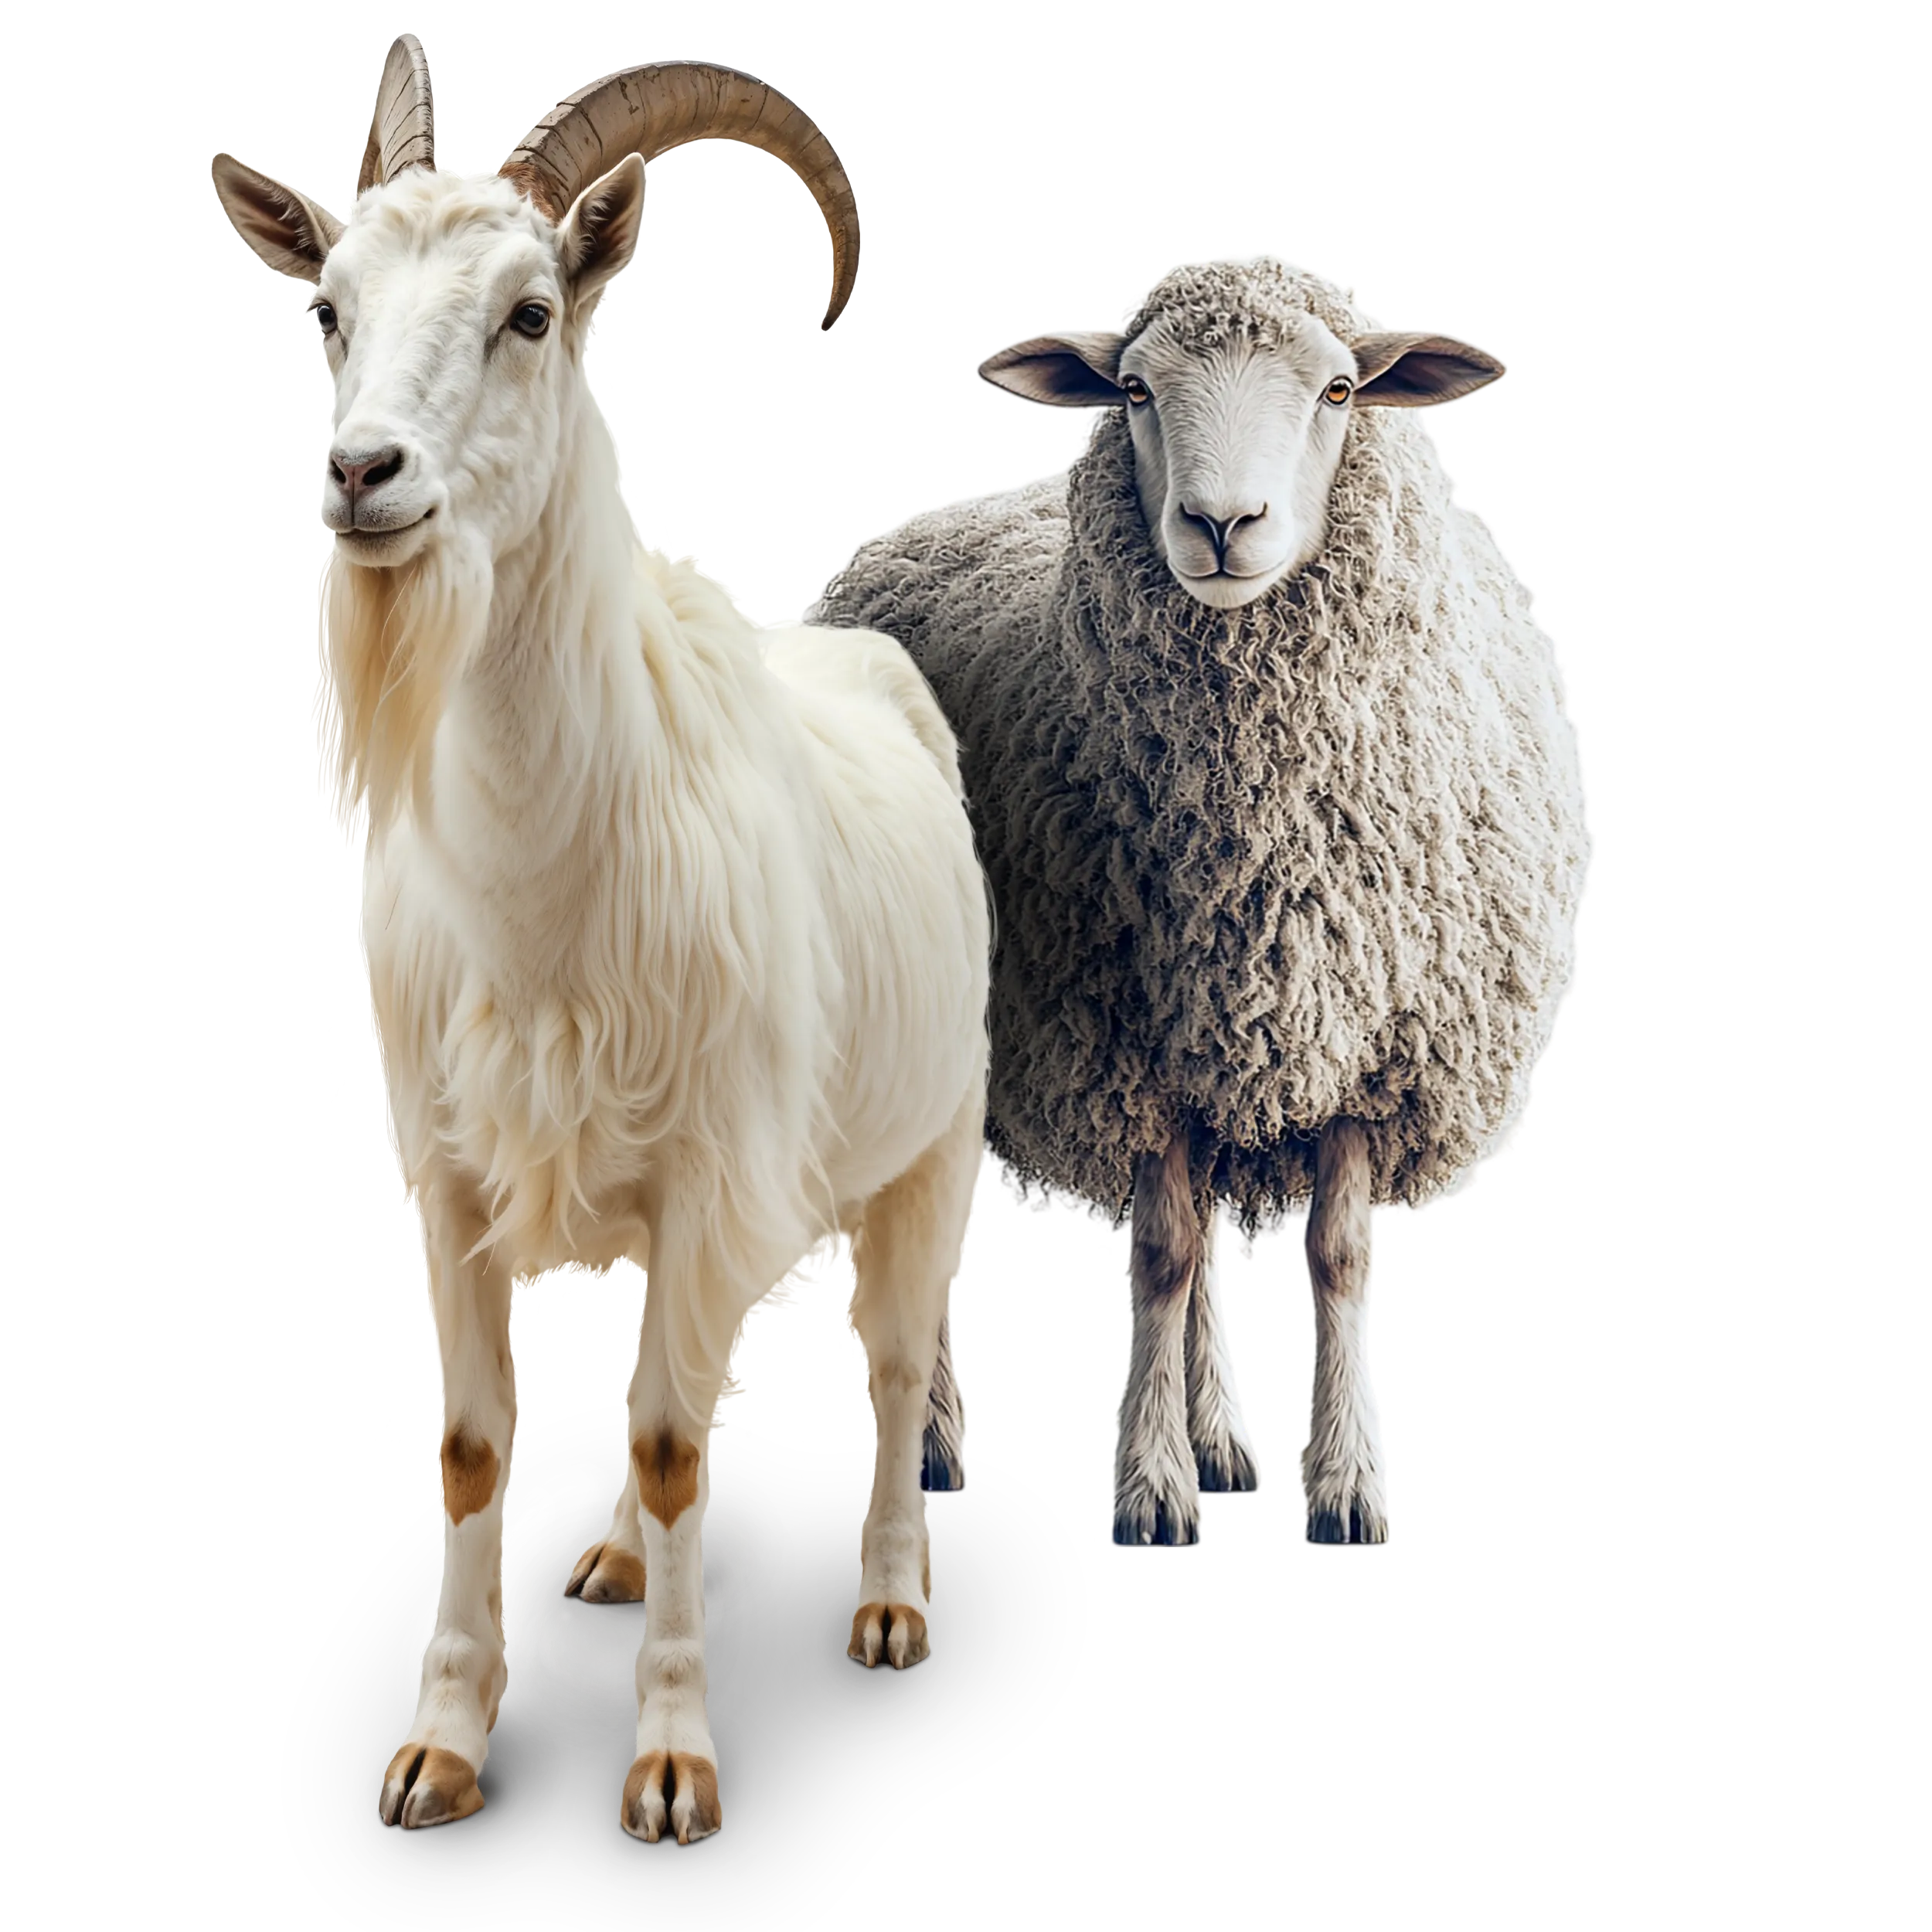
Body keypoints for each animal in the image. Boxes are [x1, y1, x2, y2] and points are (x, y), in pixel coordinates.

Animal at [210, 35, 989, 1842]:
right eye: (326, 307)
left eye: (529, 310)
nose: (363, 478)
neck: (546, 887)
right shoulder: (450, 1173)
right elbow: (481, 1444)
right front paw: (437, 1747)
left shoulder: (716, 1163)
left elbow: (673, 1443)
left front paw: (673, 1764)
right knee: (672, 1369)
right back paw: (625, 1563)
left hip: (928, 1144)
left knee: (885, 1363)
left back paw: (890, 1599)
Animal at [808, 251, 1595, 1550]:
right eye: (1133, 389)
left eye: (1339, 390)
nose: (1223, 526)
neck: (1257, 839)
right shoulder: (1123, 1045)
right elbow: (1160, 1257)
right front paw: (1149, 1490)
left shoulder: (1355, 1039)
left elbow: (1333, 1257)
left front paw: (1344, 1486)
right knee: (916, 1232)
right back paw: (930, 1446)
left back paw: (1224, 1437)